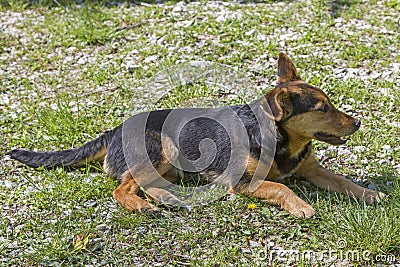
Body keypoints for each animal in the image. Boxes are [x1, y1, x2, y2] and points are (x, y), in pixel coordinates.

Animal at [7, 52, 384, 220]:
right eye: (322, 108)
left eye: (330, 103)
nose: (357, 123)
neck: (282, 141)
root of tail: (114, 131)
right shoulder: (242, 182)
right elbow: (281, 187)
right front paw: (302, 205)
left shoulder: (313, 170)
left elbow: (343, 181)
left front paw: (370, 193)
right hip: (163, 147)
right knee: (123, 187)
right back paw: (142, 205)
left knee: (144, 183)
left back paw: (169, 198)